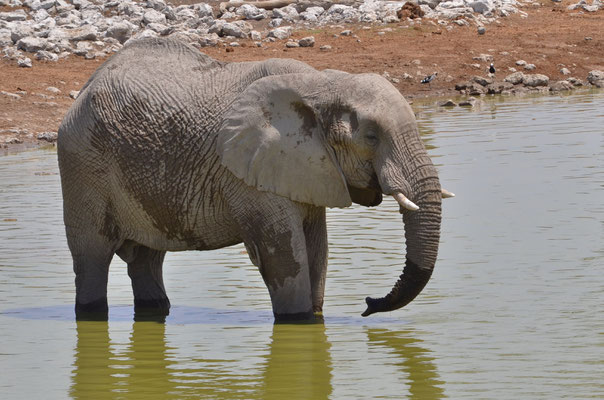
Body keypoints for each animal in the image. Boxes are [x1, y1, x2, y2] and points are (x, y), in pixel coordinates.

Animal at [57, 37, 452, 324]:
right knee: (92, 257)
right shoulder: (251, 174)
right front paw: (300, 322)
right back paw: (91, 314)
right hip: (83, 162)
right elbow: (284, 258)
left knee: (146, 259)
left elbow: (317, 251)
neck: (321, 84)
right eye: (371, 137)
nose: (368, 303)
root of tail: (86, 86)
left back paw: (155, 311)